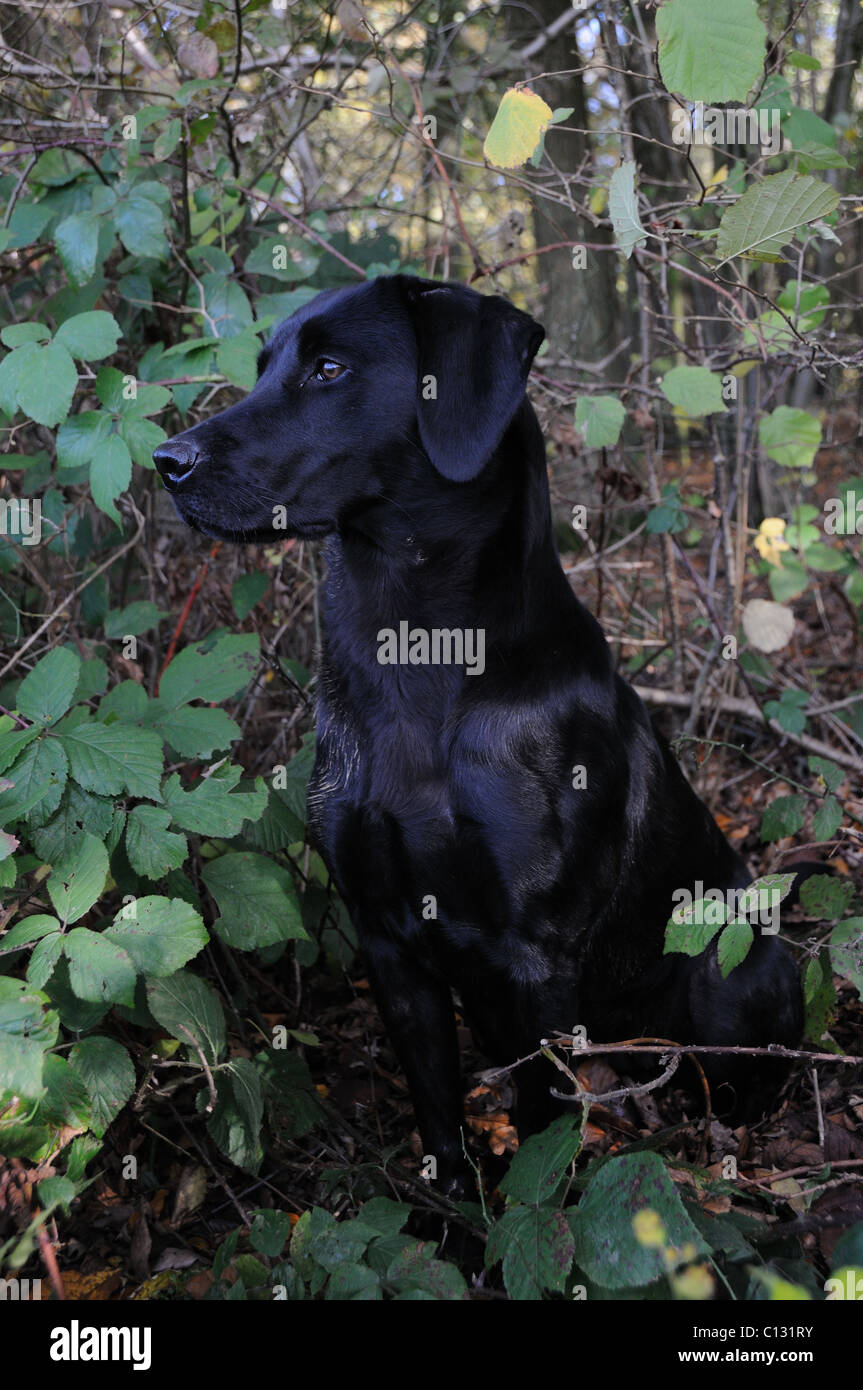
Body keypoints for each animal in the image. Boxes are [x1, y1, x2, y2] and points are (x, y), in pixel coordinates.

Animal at [152, 271, 800, 1195]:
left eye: (329, 369)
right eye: (263, 365)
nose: (167, 461)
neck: (413, 655)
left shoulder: (533, 957)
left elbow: (540, 1123)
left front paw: (536, 1205)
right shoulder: (386, 937)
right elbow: (434, 1101)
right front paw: (453, 1202)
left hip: (733, 965)